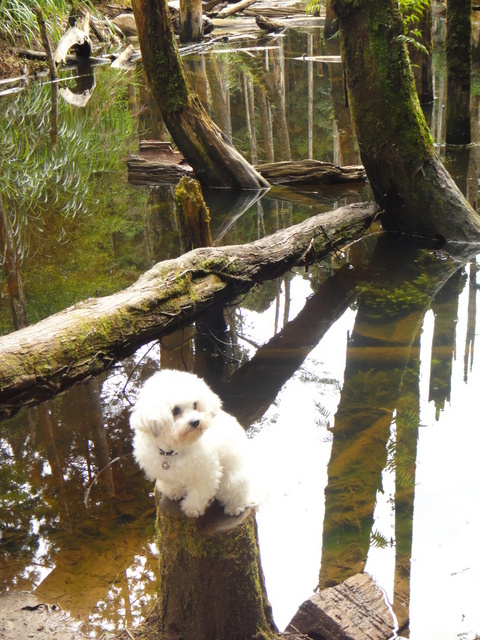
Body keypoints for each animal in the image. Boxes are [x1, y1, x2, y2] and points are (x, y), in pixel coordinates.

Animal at [128, 368, 258, 516]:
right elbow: (171, 483)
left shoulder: (206, 473)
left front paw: (191, 508)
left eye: (195, 405)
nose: (196, 422)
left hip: (233, 480)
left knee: (239, 493)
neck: (172, 451)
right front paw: (174, 492)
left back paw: (235, 507)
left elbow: (199, 493)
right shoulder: (164, 472)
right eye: (175, 410)